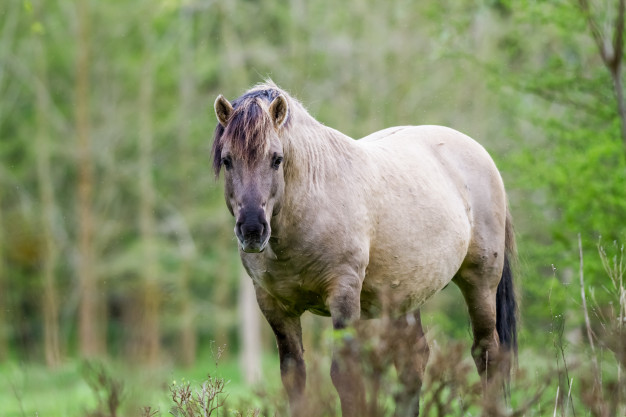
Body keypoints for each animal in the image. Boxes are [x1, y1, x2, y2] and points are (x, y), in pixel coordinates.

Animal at [210, 81, 516, 416]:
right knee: (413, 361)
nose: (252, 230)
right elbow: (294, 377)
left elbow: (345, 376)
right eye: (227, 160)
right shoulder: (275, 307)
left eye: (276, 159)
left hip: (480, 283)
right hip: (404, 296)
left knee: (486, 353)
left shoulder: (343, 295)